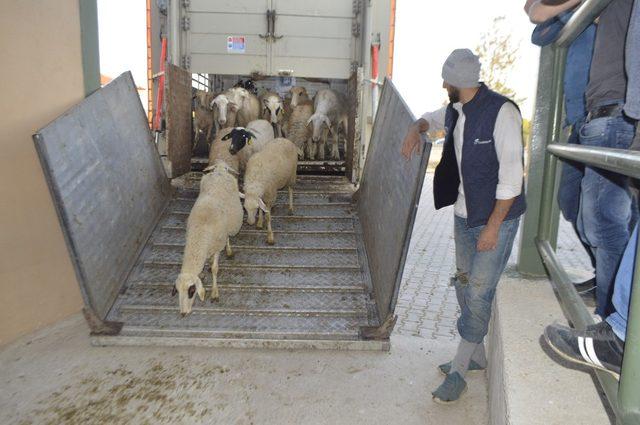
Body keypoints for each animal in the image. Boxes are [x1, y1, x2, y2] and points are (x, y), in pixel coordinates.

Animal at [171, 161, 244, 314]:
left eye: (191, 291)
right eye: (177, 291)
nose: (183, 313)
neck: (199, 238)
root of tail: (220, 168)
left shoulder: (216, 246)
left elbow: (215, 269)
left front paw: (215, 293)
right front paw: (203, 273)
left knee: (227, 238)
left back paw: (228, 250)